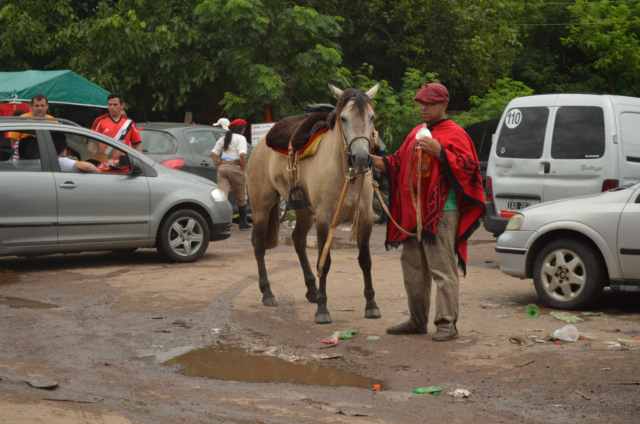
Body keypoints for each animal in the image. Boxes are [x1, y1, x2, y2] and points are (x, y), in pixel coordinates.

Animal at [248, 83, 382, 324]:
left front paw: (371, 305)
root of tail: (260, 145)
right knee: (259, 245)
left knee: (298, 240)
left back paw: (311, 290)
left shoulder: (365, 217)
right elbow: (324, 261)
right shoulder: (324, 219)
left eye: (372, 117)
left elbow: (365, 260)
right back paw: (268, 293)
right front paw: (322, 309)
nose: (360, 158)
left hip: (303, 211)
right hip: (262, 208)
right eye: (343, 118)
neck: (344, 172)